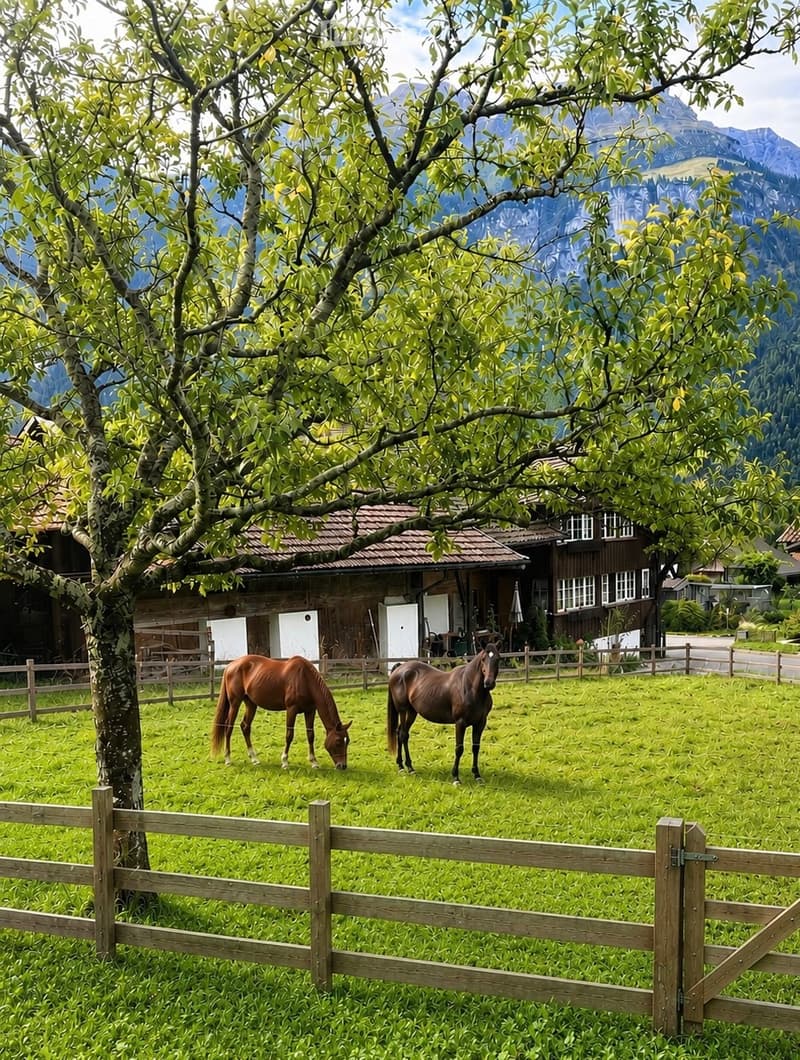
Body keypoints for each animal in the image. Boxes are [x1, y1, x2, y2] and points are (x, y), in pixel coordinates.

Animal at [210, 654, 351, 769]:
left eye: (347, 741)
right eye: (338, 741)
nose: (342, 766)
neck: (304, 679)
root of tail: (230, 666)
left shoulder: (310, 711)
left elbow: (310, 735)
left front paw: (314, 762)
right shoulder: (291, 709)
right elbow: (289, 735)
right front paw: (285, 762)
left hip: (251, 704)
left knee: (245, 727)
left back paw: (254, 759)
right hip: (235, 703)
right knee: (228, 727)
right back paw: (228, 759)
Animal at [386, 643, 500, 785]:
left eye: (498, 658)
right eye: (483, 659)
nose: (489, 683)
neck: (471, 689)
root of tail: (399, 669)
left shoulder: (480, 723)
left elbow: (476, 748)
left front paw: (477, 775)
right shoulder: (460, 723)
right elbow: (459, 748)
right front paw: (456, 778)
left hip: (412, 712)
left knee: (403, 734)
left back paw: (407, 767)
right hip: (402, 710)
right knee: (402, 734)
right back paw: (403, 767)